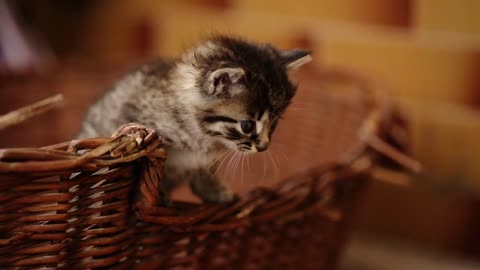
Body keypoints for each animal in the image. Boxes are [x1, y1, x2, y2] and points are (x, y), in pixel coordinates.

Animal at [79, 35, 312, 204]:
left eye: (274, 122)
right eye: (247, 125)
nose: (264, 146)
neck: (203, 138)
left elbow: (204, 170)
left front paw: (215, 191)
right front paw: (153, 197)